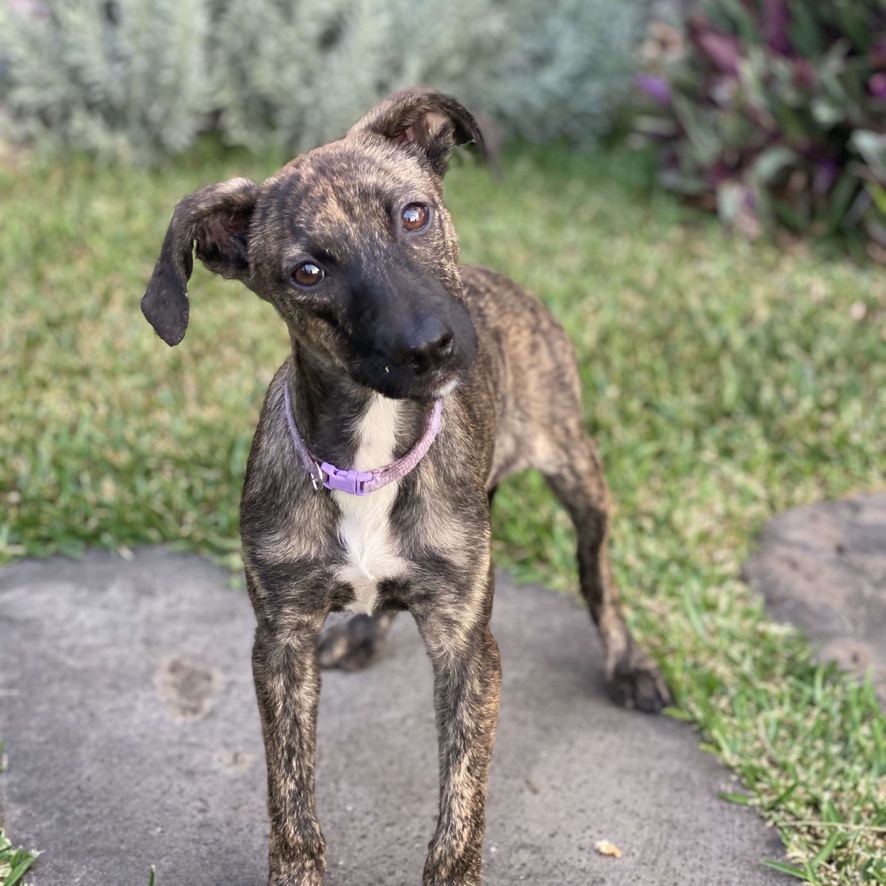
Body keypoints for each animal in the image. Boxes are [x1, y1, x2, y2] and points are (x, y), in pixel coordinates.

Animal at [142, 88, 668, 886]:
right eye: (307, 272)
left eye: (414, 215)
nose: (431, 347)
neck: (370, 455)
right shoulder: (280, 642)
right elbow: (290, 799)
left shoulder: (467, 645)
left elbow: (461, 803)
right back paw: (364, 631)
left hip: (578, 471)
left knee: (597, 574)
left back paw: (628, 664)